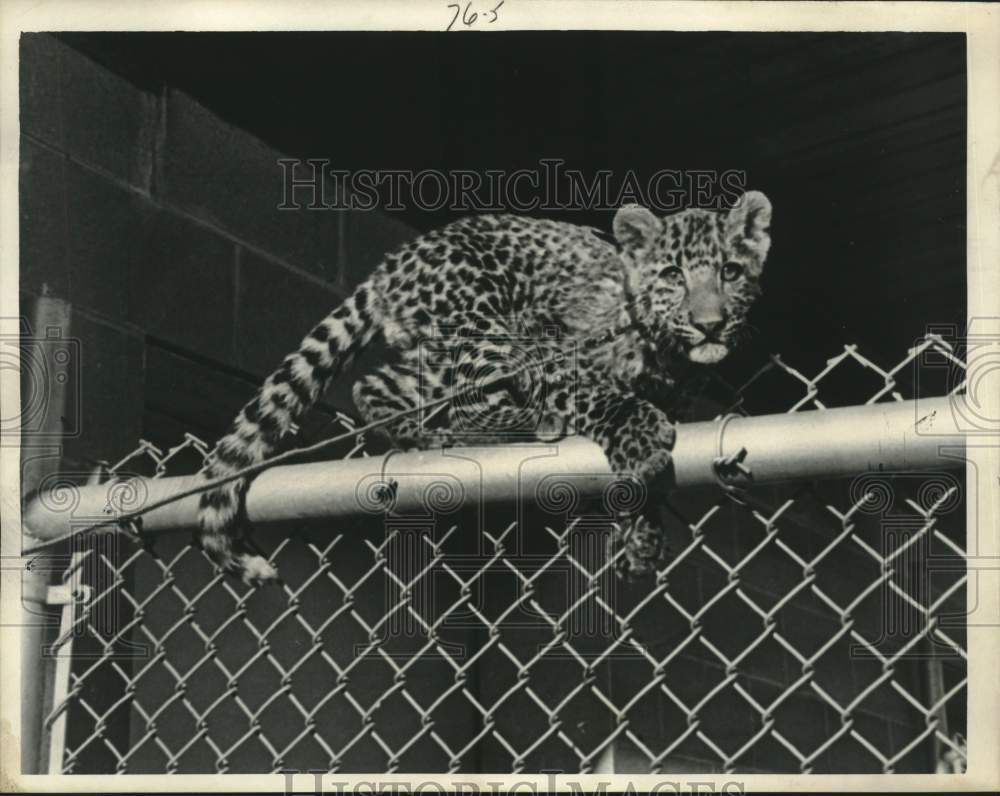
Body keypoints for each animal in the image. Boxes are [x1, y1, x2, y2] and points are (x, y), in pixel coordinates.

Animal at [197, 189, 772, 580]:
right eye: (673, 274)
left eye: (731, 271)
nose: (710, 323)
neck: (670, 356)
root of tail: (388, 267)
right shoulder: (547, 339)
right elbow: (592, 395)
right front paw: (634, 432)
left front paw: (640, 537)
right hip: (482, 323)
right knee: (471, 400)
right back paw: (532, 423)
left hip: (434, 349)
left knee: (376, 387)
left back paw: (423, 436)